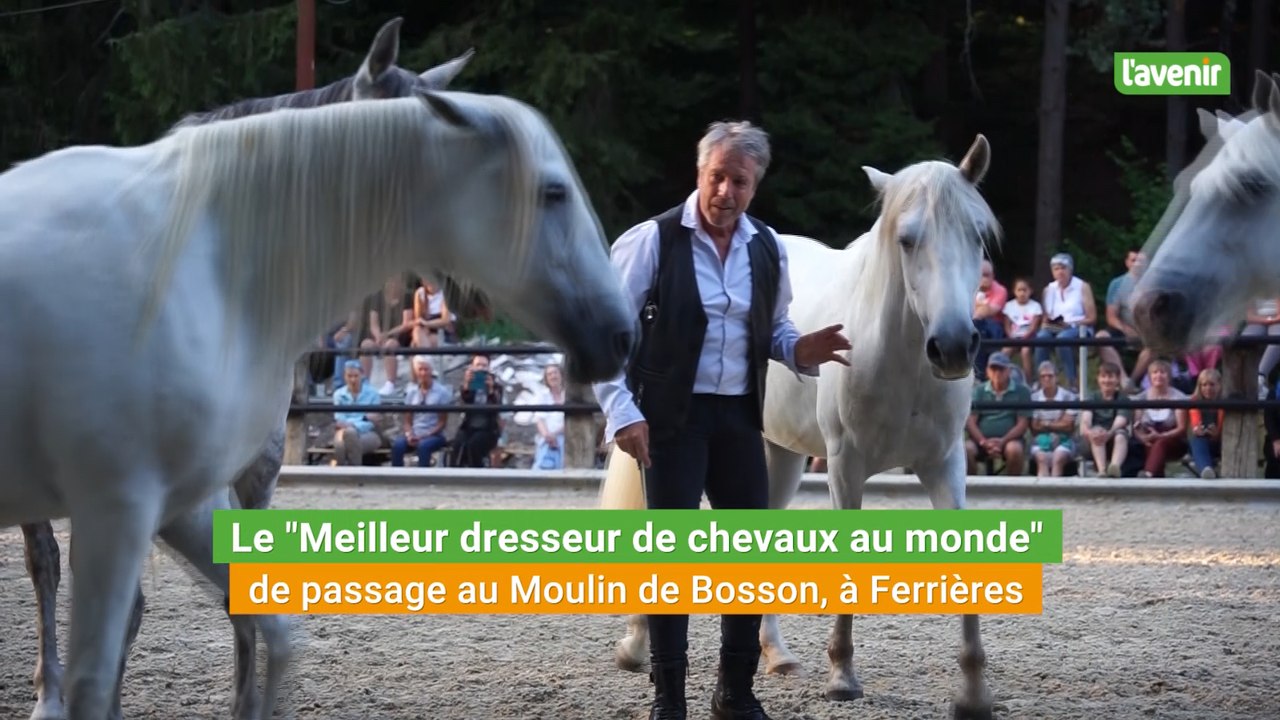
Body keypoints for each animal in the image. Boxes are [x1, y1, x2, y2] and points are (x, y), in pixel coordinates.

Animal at [0, 91, 636, 720]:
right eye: (553, 192)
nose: (621, 334)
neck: (208, 264)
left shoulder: (185, 502)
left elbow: (267, 623)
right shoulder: (120, 505)